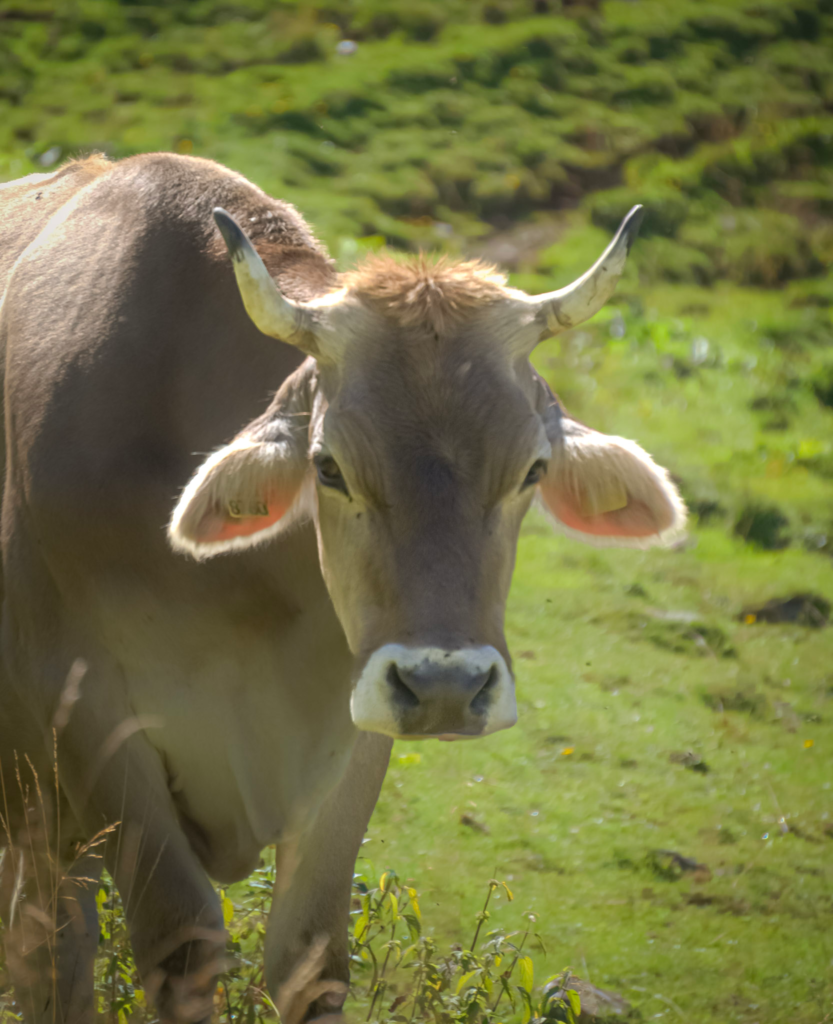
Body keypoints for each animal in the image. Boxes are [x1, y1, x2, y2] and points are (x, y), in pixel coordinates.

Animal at [0, 153, 685, 1024]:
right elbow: (182, 939)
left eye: (531, 469)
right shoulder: (85, 717)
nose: (446, 686)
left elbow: (310, 957)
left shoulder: (355, 733)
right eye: (329, 467)